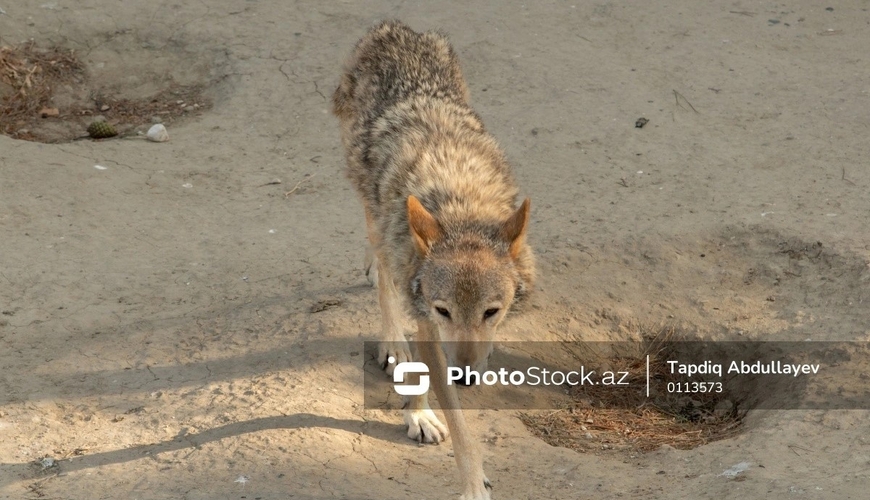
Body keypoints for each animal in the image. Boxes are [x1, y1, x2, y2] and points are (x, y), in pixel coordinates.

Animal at [332, 20, 535, 499]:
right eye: (444, 310)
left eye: (491, 311)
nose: (465, 377)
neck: (459, 203)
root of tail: (391, 28)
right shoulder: (426, 320)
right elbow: (457, 421)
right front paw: (469, 478)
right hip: (373, 199)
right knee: (383, 265)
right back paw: (392, 341)